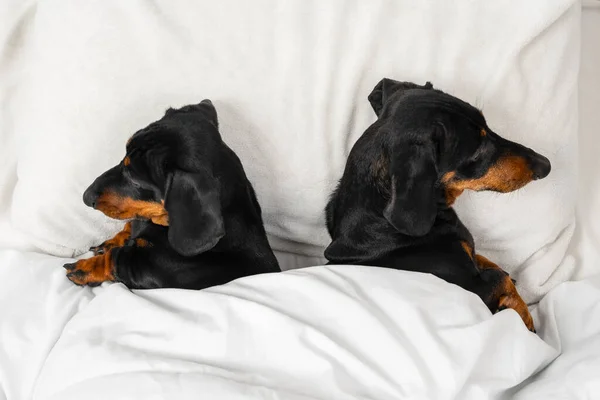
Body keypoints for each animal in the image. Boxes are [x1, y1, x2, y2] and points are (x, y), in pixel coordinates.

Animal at [64, 99, 280, 288]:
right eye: (123, 156)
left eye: (134, 179)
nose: (86, 197)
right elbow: (130, 226)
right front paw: (112, 241)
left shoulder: (147, 267)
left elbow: (116, 258)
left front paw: (84, 268)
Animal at [326, 79, 552, 332]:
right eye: (477, 151)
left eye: (488, 127)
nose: (545, 165)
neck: (382, 224)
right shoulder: (474, 289)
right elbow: (499, 278)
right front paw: (526, 318)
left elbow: (487, 261)